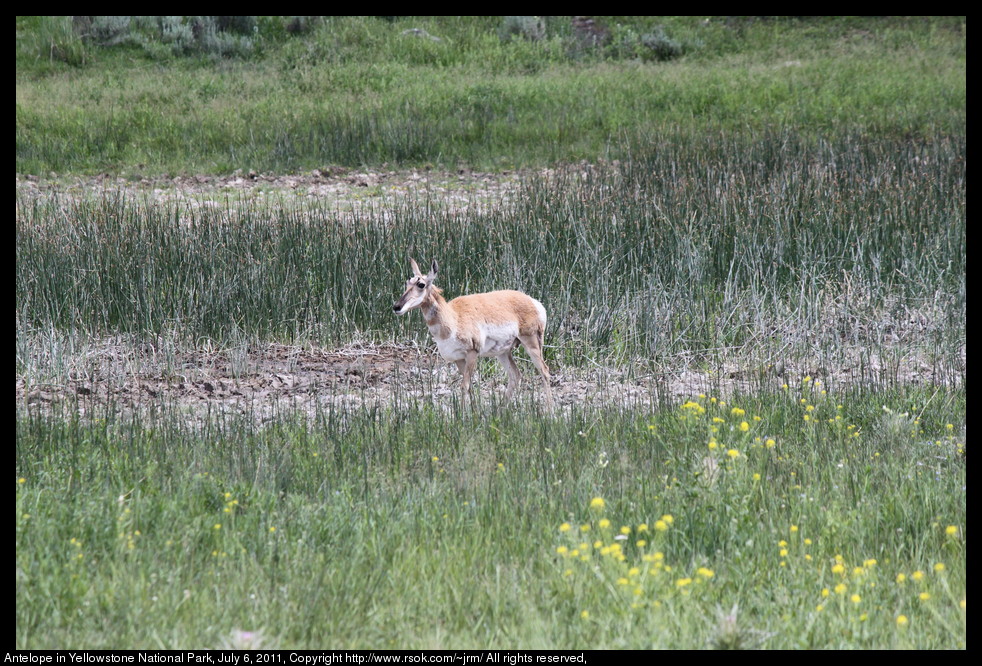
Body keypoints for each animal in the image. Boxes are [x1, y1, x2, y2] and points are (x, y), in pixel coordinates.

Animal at [396, 258, 556, 404]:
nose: (396, 307)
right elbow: (470, 387)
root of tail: (534, 302)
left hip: (531, 343)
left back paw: (549, 411)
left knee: (544, 371)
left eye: (421, 284)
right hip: (503, 352)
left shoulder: (472, 354)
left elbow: (464, 386)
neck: (453, 317)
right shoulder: (459, 359)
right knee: (515, 375)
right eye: (407, 283)